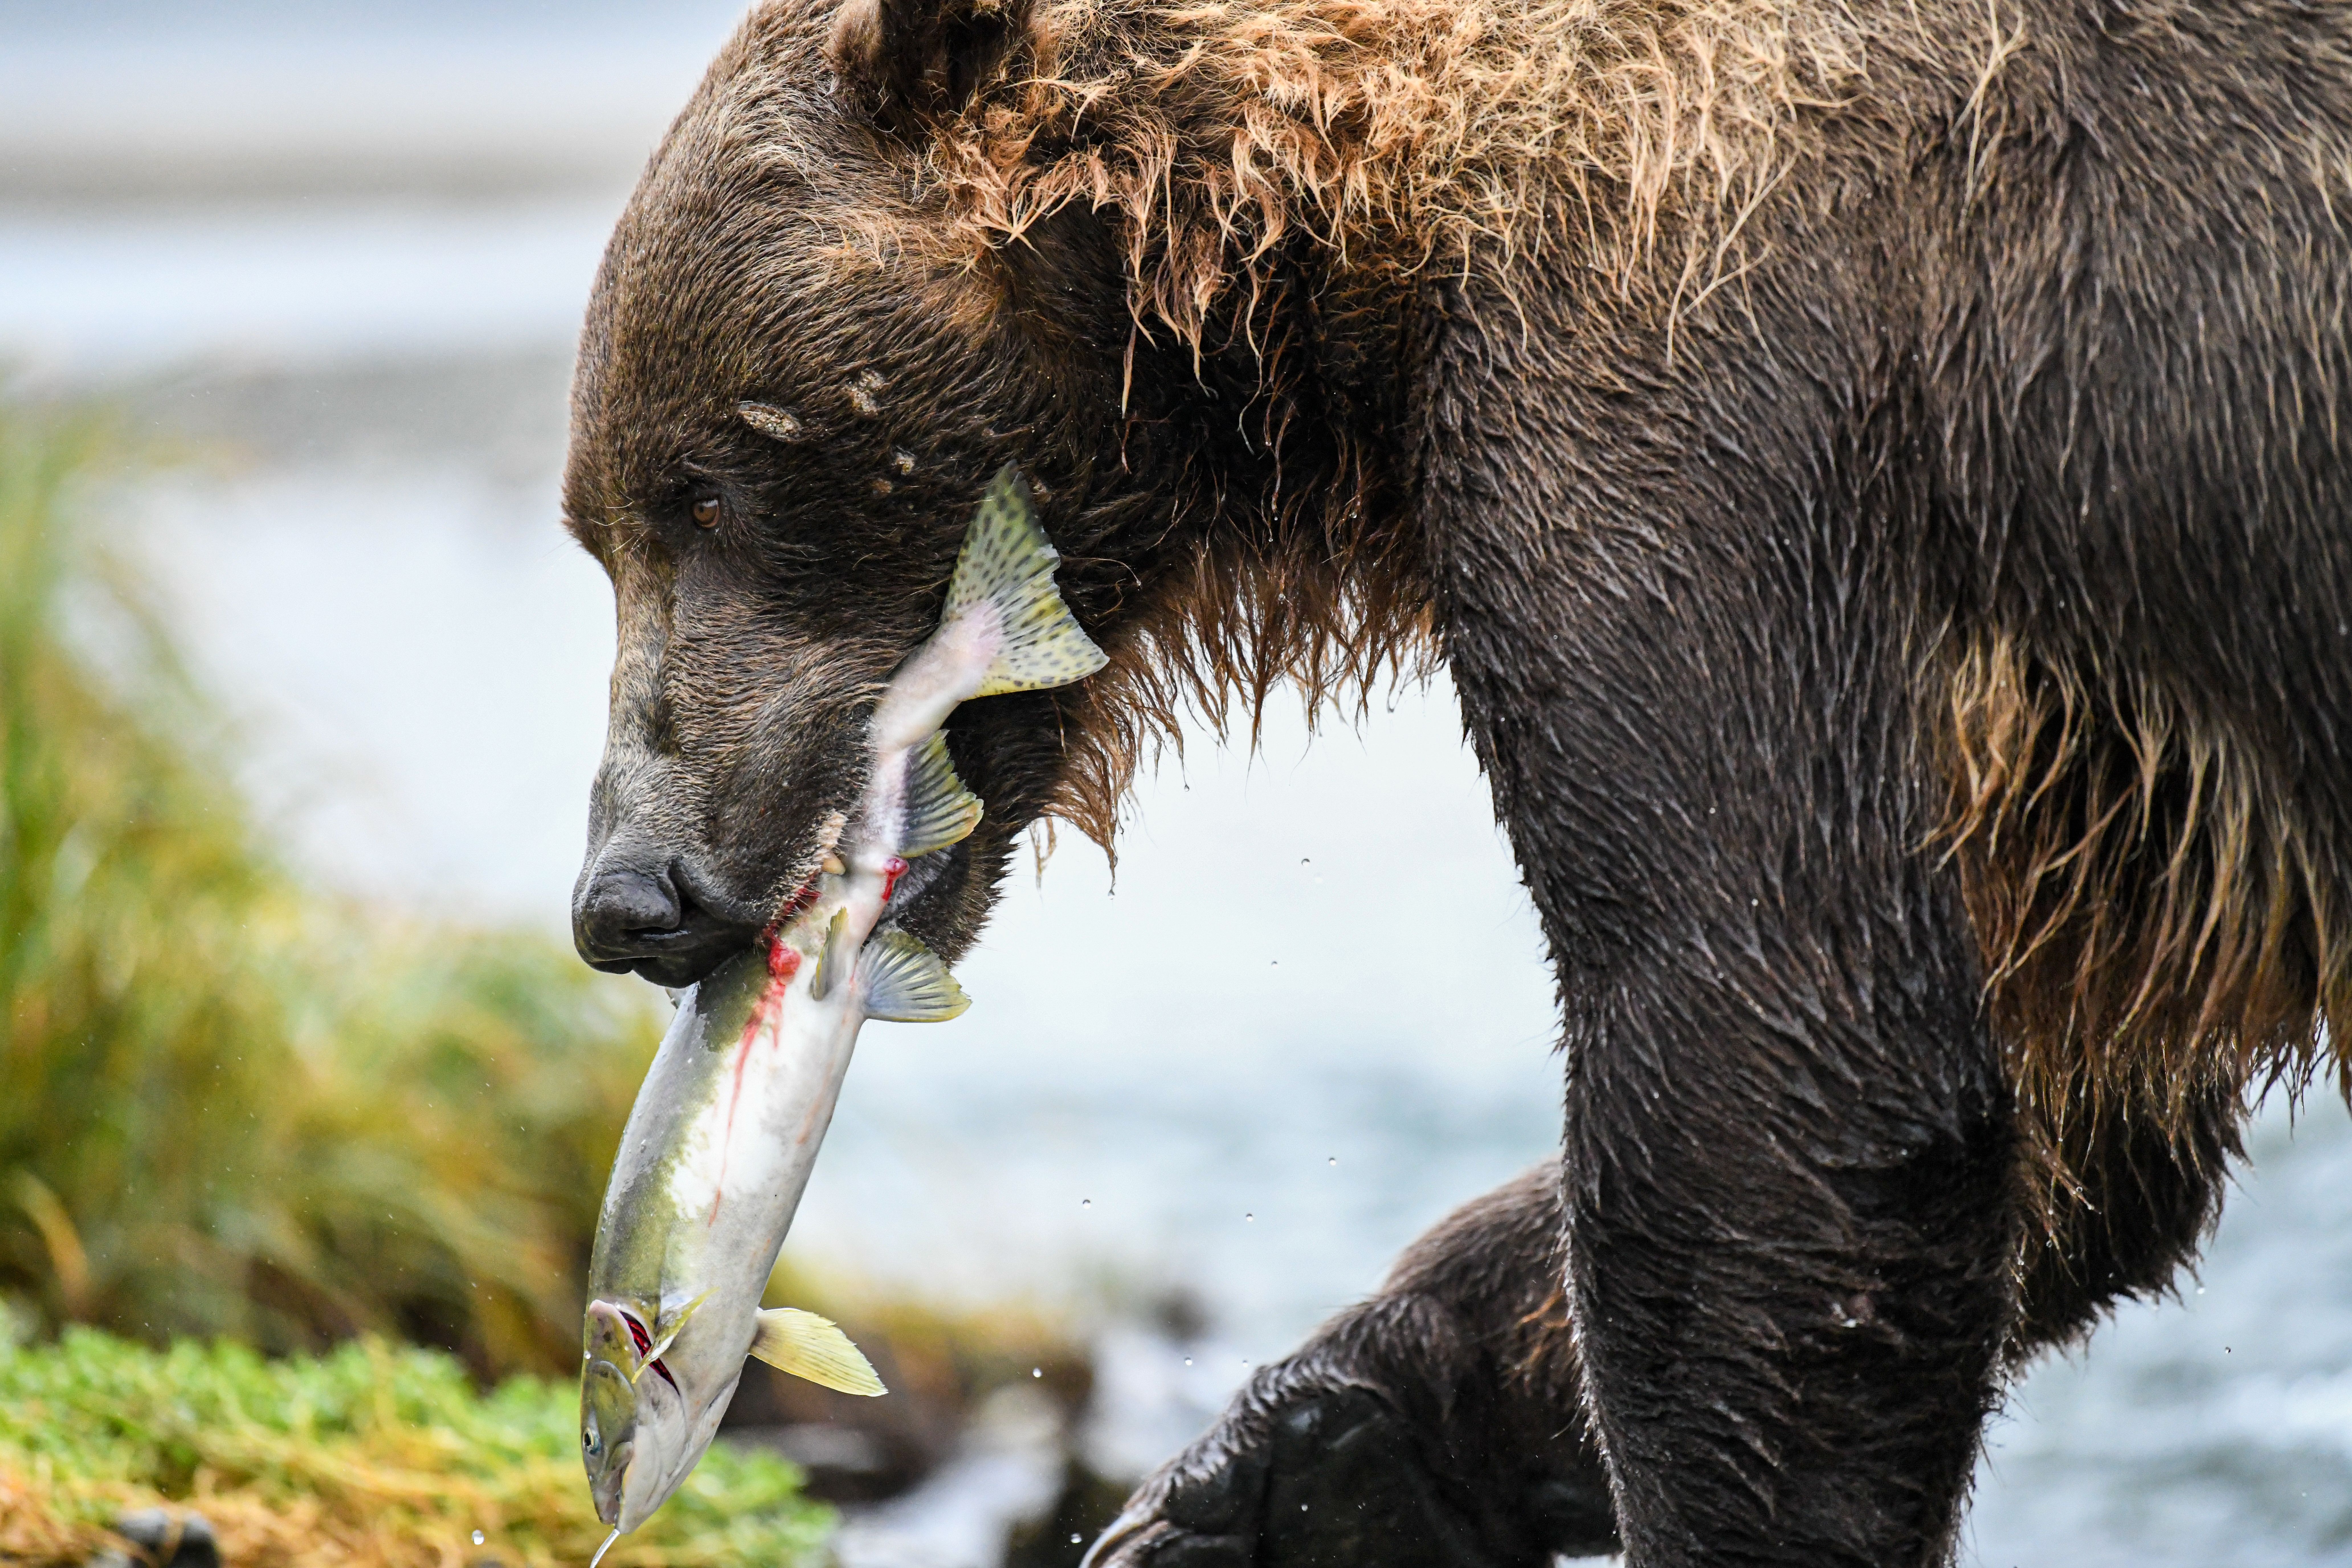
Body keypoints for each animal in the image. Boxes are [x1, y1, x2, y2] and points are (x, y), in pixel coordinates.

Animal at [558, 0, 2352, 1559]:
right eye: (598, 530)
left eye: (706, 489)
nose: (625, 895)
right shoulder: (2079, 783)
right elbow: (2071, 1130)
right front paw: (1276, 1475)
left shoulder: (1684, 395)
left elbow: (1778, 1072)